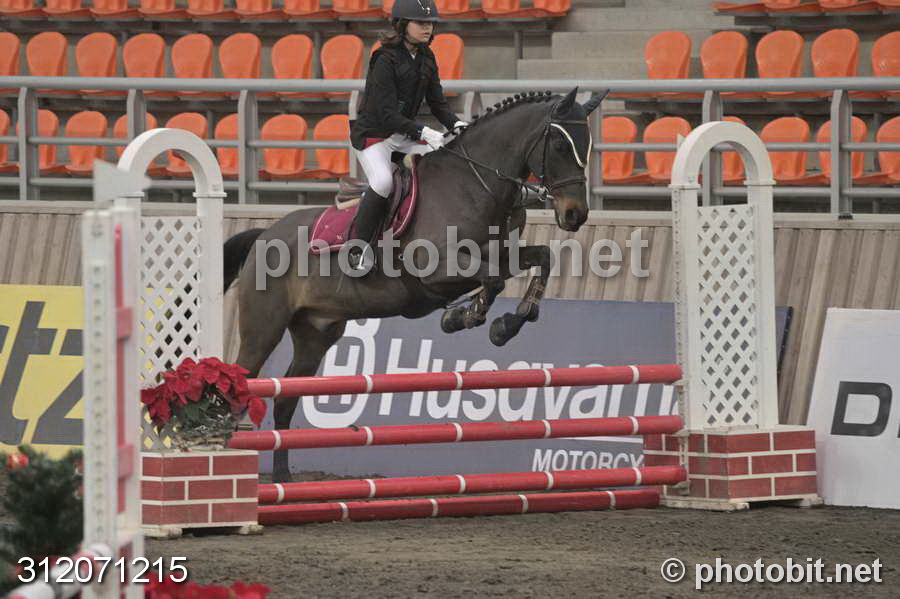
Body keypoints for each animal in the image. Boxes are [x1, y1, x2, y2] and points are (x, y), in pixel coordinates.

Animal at [224, 87, 606, 482]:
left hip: (315, 334)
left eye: (589, 145)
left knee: (286, 399)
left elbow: (540, 259)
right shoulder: (435, 272)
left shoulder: (501, 255)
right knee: (241, 385)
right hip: (263, 329)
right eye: (560, 146)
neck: (474, 185)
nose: (575, 215)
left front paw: (508, 322)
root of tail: (264, 235)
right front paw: (467, 318)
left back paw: (283, 479)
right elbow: (493, 280)